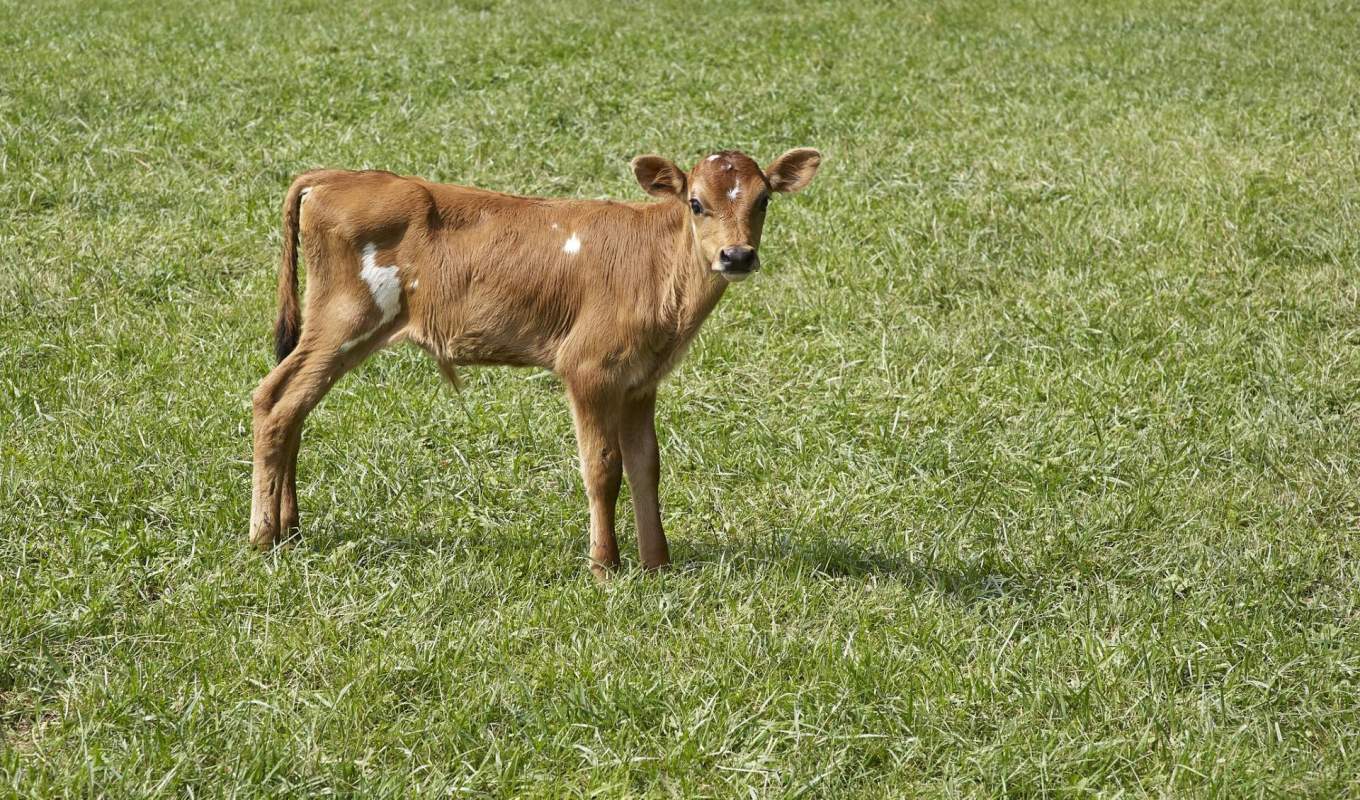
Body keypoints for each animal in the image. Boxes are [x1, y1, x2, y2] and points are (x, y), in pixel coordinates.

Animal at [249, 148, 822, 576]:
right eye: (697, 203)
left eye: (764, 200)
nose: (737, 256)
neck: (660, 274)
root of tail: (334, 176)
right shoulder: (588, 368)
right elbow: (602, 466)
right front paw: (605, 565)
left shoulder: (640, 380)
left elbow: (647, 466)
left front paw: (657, 564)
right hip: (344, 318)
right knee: (274, 401)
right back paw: (263, 535)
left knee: (294, 408)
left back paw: (291, 528)